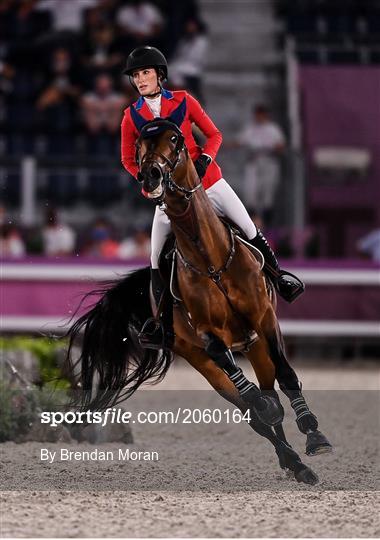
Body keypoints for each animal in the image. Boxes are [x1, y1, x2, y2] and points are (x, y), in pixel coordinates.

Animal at [67, 100, 332, 486]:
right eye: (139, 145)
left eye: (177, 139)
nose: (151, 177)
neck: (212, 260)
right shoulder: (208, 338)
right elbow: (251, 398)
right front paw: (271, 414)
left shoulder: (265, 318)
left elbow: (287, 374)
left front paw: (315, 434)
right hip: (199, 359)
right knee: (253, 410)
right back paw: (291, 460)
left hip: (254, 345)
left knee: (270, 387)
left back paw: (298, 460)